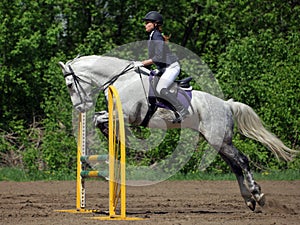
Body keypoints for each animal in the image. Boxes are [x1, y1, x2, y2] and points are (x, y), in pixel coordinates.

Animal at [58, 54, 296, 211]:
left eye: (69, 84)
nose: (80, 107)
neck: (122, 80)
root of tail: (227, 105)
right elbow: (98, 118)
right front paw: (109, 135)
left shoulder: (126, 116)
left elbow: (101, 118)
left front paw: (109, 134)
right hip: (217, 142)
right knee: (236, 166)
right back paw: (248, 200)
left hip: (219, 140)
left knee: (243, 161)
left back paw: (258, 194)